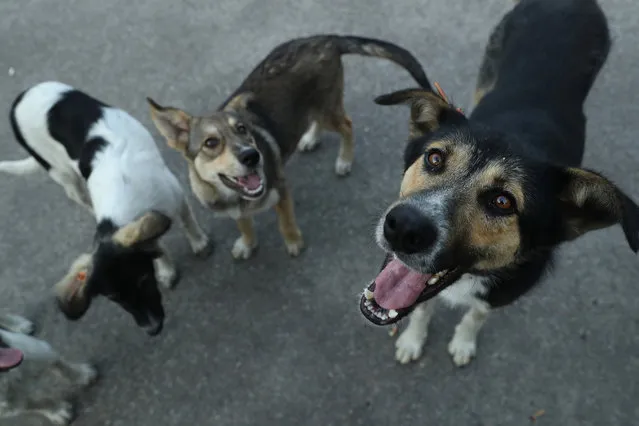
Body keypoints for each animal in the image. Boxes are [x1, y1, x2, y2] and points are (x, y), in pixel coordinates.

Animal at [0, 82, 215, 336]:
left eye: (143, 280)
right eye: (113, 297)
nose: (152, 329)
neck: (122, 211)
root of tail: (19, 100)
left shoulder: (174, 193)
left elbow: (187, 221)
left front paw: (199, 243)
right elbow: (156, 243)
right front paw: (166, 267)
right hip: (64, 177)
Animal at [148, 34, 432, 260]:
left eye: (242, 130)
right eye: (211, 143)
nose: (252, 157)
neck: (235, 194)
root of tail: (326, 39)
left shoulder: (281, 190)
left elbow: (285, 222)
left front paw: (294, 242)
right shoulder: (235, 209)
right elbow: (244, 224)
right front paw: (248, 244)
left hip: (326, 107)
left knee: (347, 125)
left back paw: (344, 160)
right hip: (310, 107)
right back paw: (310, 138)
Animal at [360, 0, 639, 366]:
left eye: (503, 201)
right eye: (434, 158)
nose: (403, 227)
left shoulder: (502, 293)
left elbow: (476, 314)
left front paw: (463, 341)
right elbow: (421, 308)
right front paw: (412, 339)